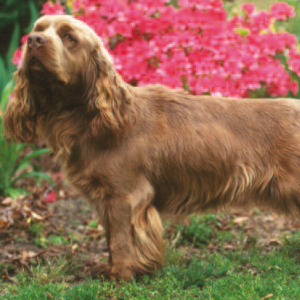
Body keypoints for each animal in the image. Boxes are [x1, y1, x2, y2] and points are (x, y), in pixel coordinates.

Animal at [3, 14, 300, 282]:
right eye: (38, 29)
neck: (88, 118)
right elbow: (111, 238)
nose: (33, 40)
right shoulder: (107, 199)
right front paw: (111, 270)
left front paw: (121, 277)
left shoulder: (126, 195)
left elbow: (121, 241)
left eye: (69, 37)